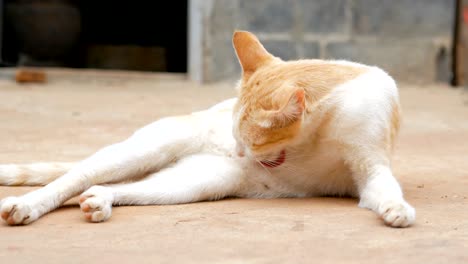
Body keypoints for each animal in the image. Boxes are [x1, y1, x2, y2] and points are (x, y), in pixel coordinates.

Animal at [1, 30, 414, 227]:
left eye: (249, 143)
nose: (237, 153)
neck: (324, 126)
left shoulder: (371, 168)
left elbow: (385, 188)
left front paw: (396, 209)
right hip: (144, 150)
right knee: (75, 177)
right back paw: (25, 206)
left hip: (197, 183)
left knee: (116, 186)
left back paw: (99, 201)